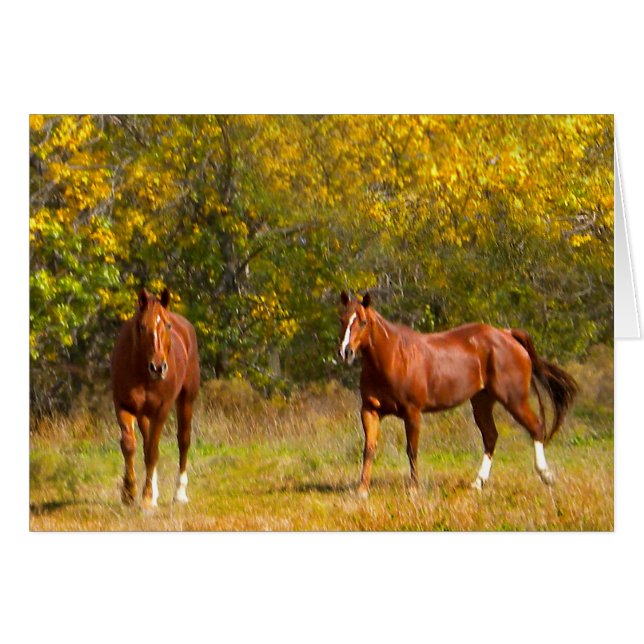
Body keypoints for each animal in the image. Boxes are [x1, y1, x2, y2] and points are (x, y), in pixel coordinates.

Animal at [111, 287, 200, 508]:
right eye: (142, 326)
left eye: (167, 325)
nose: (158, 367)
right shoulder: (123, 406)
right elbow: (129, 445)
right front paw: (129, 492)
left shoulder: (161, 409)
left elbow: (152, 452)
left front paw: (147, 497)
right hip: (144, 413)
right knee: (145, 442)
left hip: (186, 399)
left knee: (183, 440)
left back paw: (179, 493)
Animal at [338, 291, 578, 498]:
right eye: (342, 319)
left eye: (363, 322)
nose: (345, 352)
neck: (393, 357)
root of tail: (507, 334)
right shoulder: (370, 410)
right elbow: (369, 449)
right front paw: (361, 490)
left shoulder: (412, 412)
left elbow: (412, 449)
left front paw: (414, 489)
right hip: (482, 401)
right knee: (491, 437)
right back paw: (478, 483)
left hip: (514, 399)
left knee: (536, 426)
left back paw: (546, 475)